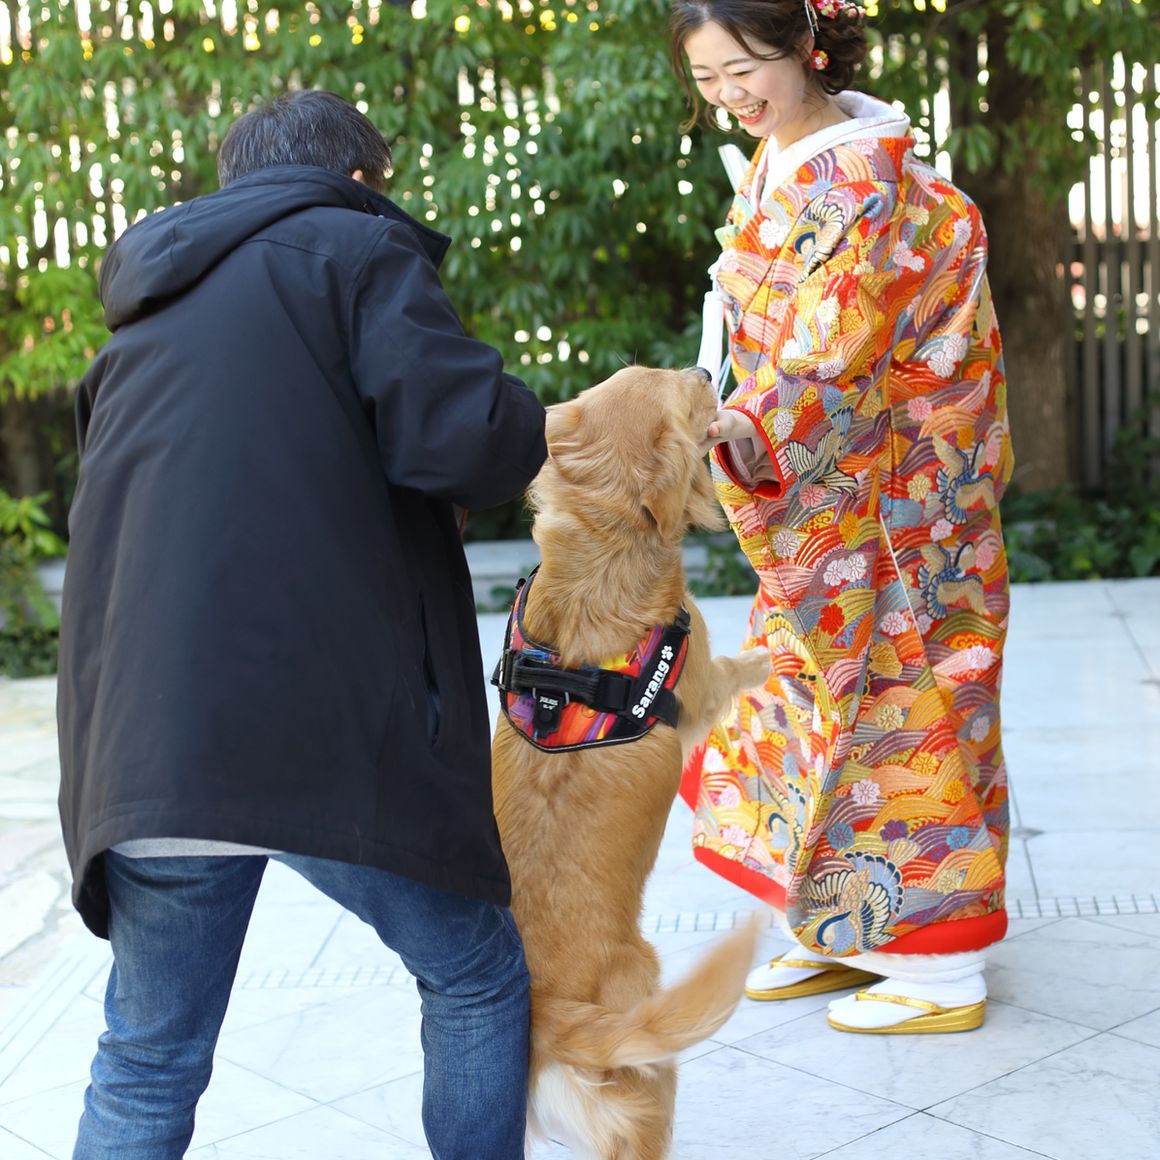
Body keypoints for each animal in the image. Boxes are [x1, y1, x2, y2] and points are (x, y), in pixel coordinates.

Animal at [491, 365, 770, 1159]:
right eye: (688, 392)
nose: (706, 368)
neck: (605, 543)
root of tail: (549, 1013)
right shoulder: (700, 687)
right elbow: (738, 668)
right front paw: (774, 652)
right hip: (648, 1042)